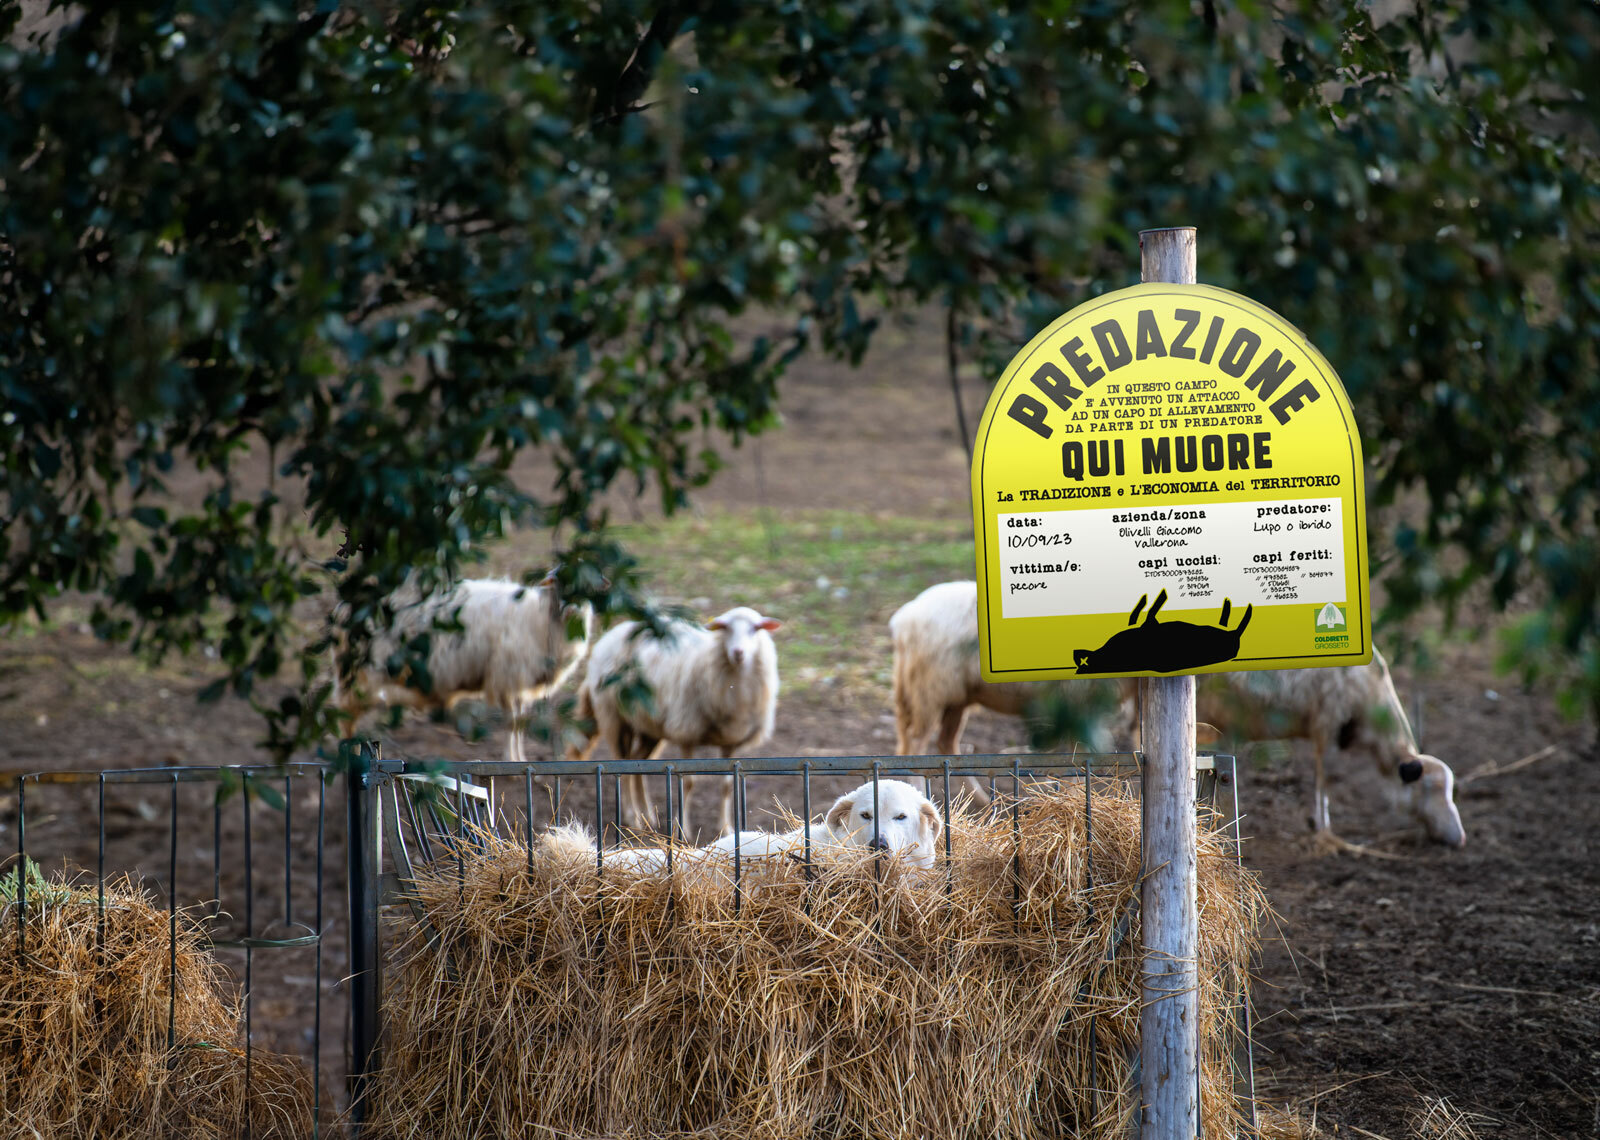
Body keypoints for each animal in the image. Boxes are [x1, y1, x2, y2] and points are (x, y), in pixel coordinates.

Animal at [329, 570, 595, 765]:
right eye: (561, 585)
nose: (572, 607)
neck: (540, 618)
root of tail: (344, 608)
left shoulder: (516, 682)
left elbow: (519, 722)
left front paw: (520, 758)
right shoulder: (507, 677)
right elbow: (512, 723)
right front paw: (511, 759)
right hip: (361, 674)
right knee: (345, 714)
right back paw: (349, 755)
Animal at [569, 605, 780, 838]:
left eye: (755, 629)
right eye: (725, 628)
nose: (738, 653)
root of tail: (610, 635)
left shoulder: (731, 741)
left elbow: (727, 785)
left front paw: (726, 828)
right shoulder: (687, 732)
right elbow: (687, 782)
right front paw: (682, 829)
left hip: (648, 726)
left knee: (637, 762)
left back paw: (647, 815)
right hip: (614, 717)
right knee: (620, 766)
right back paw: (633, 817)